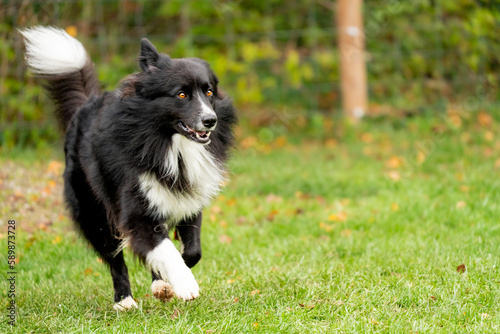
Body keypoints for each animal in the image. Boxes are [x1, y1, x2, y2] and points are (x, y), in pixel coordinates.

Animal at [21, 26, 236, 310]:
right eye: (181, 94)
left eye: (209, 92)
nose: (210, 120)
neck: (167, 142)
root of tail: (86, 105)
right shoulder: (135, 210)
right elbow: (163, 248)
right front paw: (185, 284)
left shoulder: (189, 200)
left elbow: (190, 252)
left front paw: (167, 280)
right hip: (93, 210)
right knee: (114, 258)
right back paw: (124, 301)